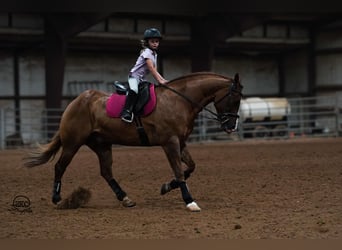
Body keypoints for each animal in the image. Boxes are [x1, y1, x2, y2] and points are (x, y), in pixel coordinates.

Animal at [23, 71, 243, 212]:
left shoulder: (180, 142)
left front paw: (166, 187)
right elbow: (180, 171)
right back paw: (57, 199)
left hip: (102, 145)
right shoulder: (170, 143)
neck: (179, 101)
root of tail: (76, 101)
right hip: (73, 143)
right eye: (235, 99)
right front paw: (189, 201)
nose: (231, 126)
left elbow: (190, 168)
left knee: (106, 172)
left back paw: (125, 198)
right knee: (60, 166)